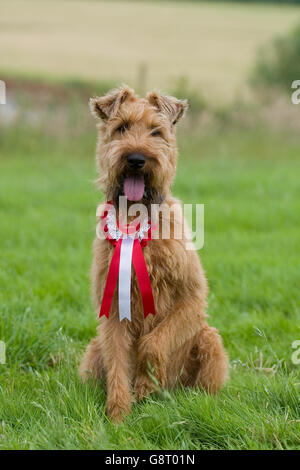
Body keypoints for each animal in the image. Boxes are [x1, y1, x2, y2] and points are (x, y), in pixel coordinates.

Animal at [78, 86, 229, 424]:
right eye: (121, 127)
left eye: (156, 131)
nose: (136, 158)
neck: (136, 220)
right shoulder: (113, 310)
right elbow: (119, 364)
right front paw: (118, 416)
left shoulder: (192, 298)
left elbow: (154, 341)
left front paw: (147, 384)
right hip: (93, 352)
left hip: (210, 340)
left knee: (204, 386)